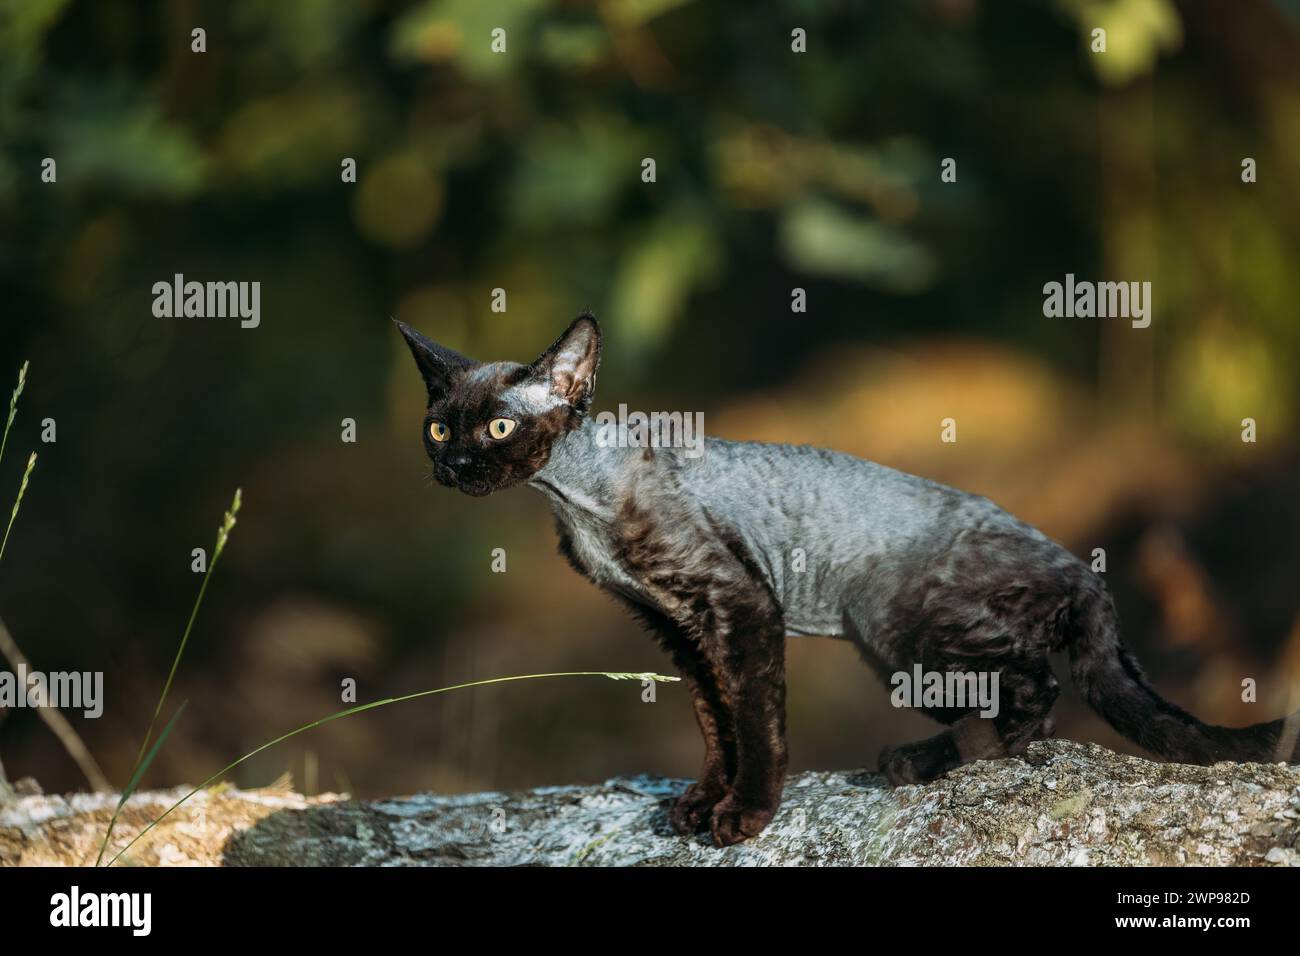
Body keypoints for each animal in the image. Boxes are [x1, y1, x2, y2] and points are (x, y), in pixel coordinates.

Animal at [395, 312, 1300, 842]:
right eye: (438, 428)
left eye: (500, 427)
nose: (453, 468)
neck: (580, 496)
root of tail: (1085, 570)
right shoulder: (679, 628)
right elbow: (713, 720)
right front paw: (701, 802)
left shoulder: (740, 605)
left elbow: (756, 722)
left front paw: (747, 815)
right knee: (1024, 698)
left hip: (895, 628)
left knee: (1034, 689)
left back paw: (920, 761)